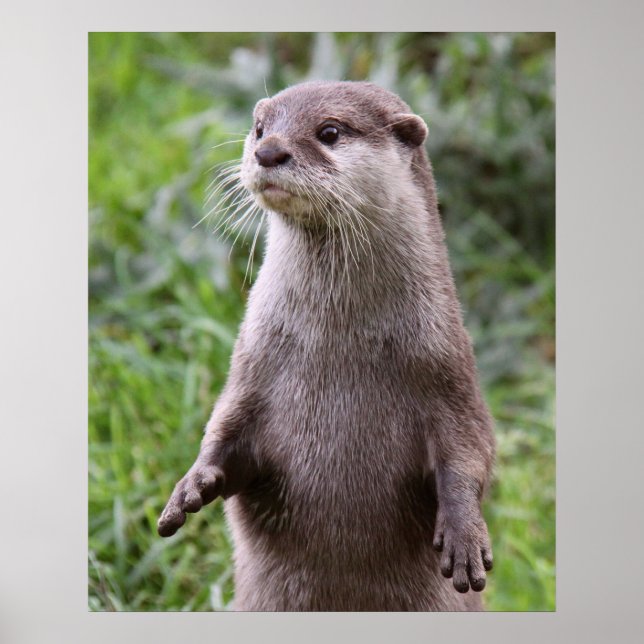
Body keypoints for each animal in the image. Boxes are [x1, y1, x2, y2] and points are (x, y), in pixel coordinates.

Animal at [157, 81, 495, 611]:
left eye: (330, 132)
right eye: (260, 128)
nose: (268, 151)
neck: (340, 346)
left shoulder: (449, 370)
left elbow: (471, 450)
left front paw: (464, 537)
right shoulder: (250, 367)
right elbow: (224, 430)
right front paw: (192, 484)